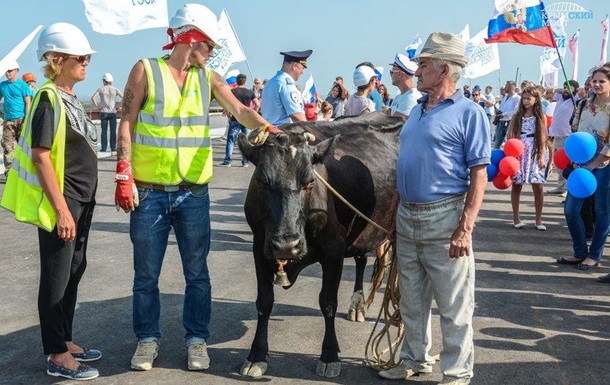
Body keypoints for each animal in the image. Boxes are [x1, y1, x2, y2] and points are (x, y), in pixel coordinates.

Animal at [238, 112, 404, 376]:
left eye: (309, 182)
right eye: (262, 182)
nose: (287, 245)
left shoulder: (333, 249)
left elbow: (328, 302)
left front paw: (329, 355)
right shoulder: (260, 246)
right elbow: (264, 301)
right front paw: (257, 355)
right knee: (361, 258)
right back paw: (358, 305)